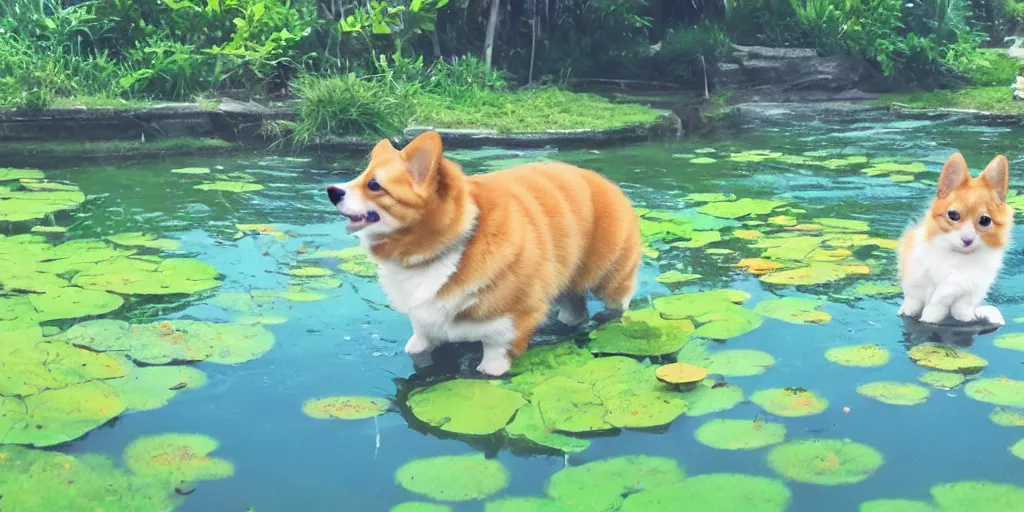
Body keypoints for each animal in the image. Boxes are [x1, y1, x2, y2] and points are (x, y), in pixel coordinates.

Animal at [323, 130, 638, 374]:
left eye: (374, 185)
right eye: (360, 176)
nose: (331, 191)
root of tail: (604, 181)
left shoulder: (506, 332)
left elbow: (491, 366)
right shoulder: (422, 326)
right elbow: (418, 346)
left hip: (611, 279)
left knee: (618, 302)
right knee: (575, 311)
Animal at [897, 152, 1007, 327]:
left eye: (985, 220)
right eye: (953, 215)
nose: (967, 240)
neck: (956, 255)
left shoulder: (968, 287)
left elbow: (954, 304)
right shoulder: (916, 278)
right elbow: (915, 302)